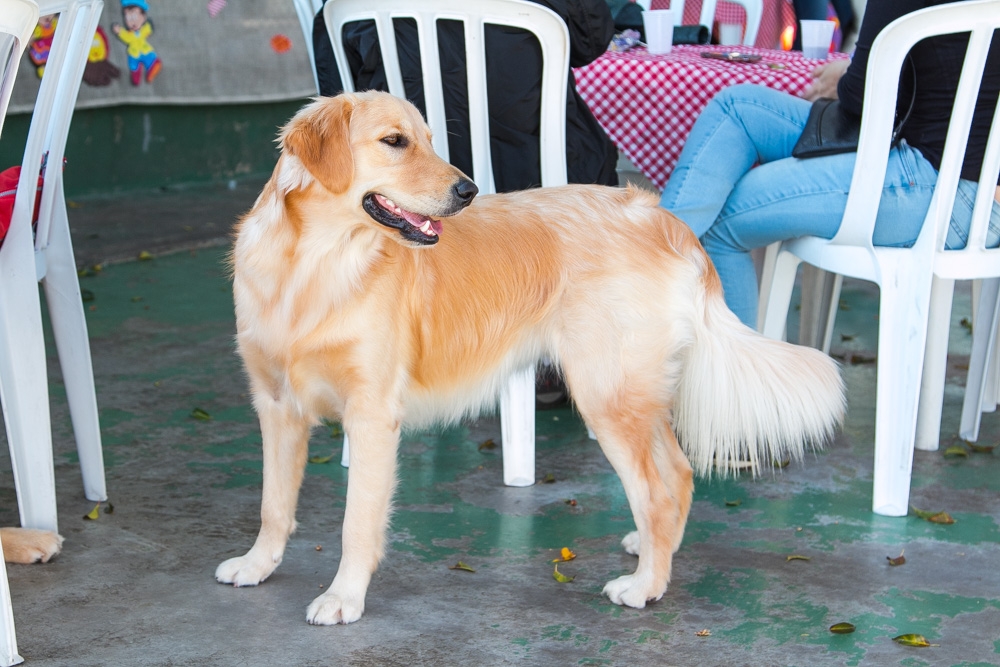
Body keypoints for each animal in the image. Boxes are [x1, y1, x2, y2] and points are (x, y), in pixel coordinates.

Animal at [217, 91, 844, 624]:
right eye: (395, 141)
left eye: (429, 140)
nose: (467, 190)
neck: (311, 267)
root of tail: (661, 217)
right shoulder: (275, 406)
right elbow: (273, 504)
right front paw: (257, 564)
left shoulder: (371, 416)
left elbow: (356, 523)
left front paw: (343, 597)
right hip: (631, 394)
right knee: (679, 474)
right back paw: (654, 551)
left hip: (606, 396)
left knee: (656, 492)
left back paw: (646, 585)